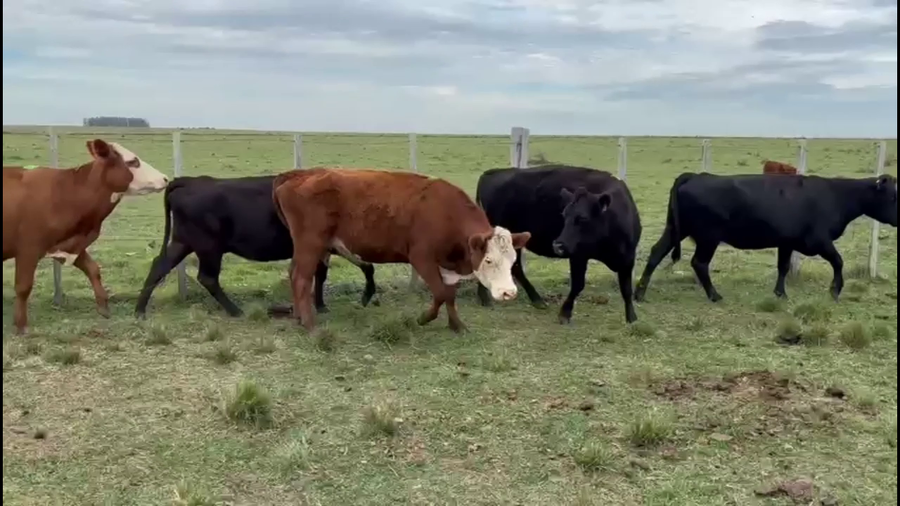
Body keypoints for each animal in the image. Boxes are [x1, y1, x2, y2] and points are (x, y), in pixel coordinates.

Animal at [3, 139, 169, 334]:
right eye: (132, 161)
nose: (165, 178)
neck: (65, 193)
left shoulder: (69, 244)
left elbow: (93, 269)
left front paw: (103, 307)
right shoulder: (28, 249)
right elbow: (23, 287)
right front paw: (20, 325)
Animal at [134, 175, 378, 318]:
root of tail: (192, 180)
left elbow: (321, 275)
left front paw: (320, 305)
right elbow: (366, 266)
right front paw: (364, 296)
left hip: (183, 242)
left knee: (159, 267)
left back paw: (139, 311)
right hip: (209, 247)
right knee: (207, 278)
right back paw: (236, 311)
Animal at [272, 167, 532, 333]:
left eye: (512, 262)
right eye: (488, 260)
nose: (509, 292)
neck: (446, 212)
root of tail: (299, 175)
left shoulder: (447, 266)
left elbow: (449, 295)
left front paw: (457, 326)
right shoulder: (421, 258)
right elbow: (440, 294)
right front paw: (423, 319)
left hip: (304, 247)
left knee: (293, 273)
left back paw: (298, 316)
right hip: (311, 244)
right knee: (301, 279)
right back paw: (309, 325)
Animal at [474, 164, 642, 324]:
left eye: (583, 218)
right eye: (564, 215)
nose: (558, 245)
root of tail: (492, 173)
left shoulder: (628, 259)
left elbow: (627, 289)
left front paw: (631, 317)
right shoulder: (578, 255)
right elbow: (578, 284)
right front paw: (565, 314)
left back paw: (535, 300)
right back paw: (487, 298)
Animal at [633, 172, 899, 303]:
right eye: (892, 196)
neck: (835, 195)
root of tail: (696, 175)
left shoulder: (787, 242)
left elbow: (783, 267)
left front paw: (780, 294)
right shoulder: (819, 240)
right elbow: (838, 261)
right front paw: (835, 291)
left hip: (676, 229)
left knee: (656, 253)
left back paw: (640, 293)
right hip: (708, 237)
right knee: (699, 263)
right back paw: (714, 296)